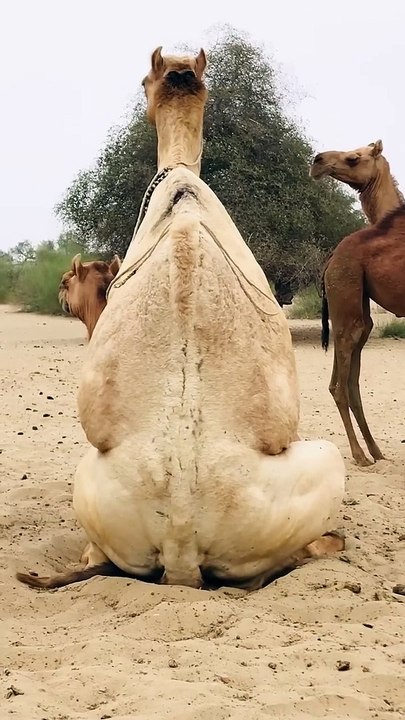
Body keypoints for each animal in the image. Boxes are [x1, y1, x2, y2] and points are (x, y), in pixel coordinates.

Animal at [310, 140, 405, 466]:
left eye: (353, 158)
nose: (317, 161)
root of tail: (329, 262)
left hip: (354, 313)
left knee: (346, 384)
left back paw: (375, 451)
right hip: (347, 303)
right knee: (341, 386)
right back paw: (361, 455)